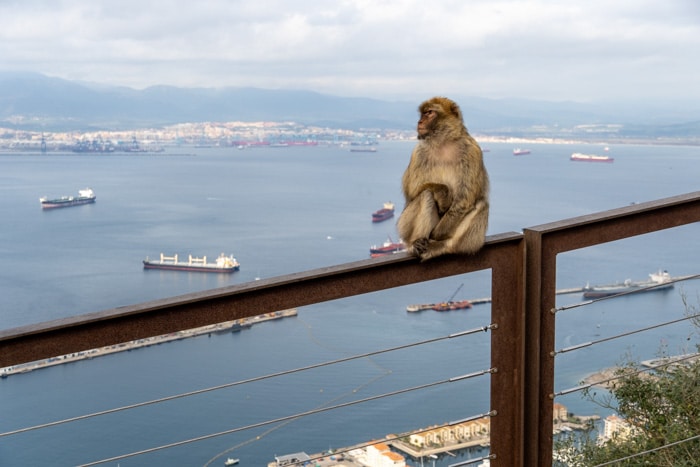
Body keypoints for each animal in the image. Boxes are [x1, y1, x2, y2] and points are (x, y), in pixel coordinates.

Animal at [396, 96, 489, 261]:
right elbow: (413, 190)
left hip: (472, 240)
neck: (443, 142)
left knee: (481, 204)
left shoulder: (472, 151)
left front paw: (437, 234)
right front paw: (443, 194)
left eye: (429, 113)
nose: (420, 122)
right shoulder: (418, 152)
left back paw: (442, 245)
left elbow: (464, 201)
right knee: (426, 194)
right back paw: (415, 244)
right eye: (423, 113)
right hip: (404, 225)